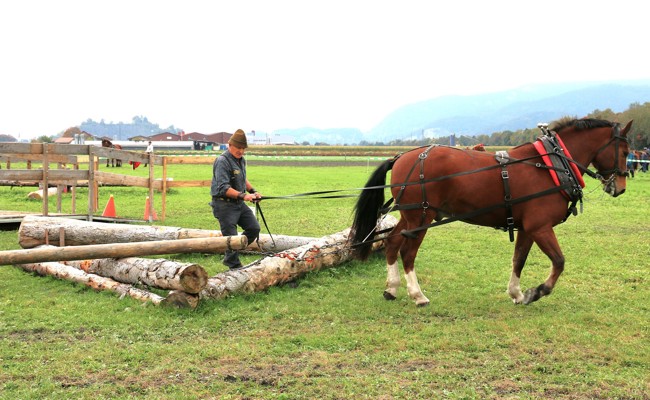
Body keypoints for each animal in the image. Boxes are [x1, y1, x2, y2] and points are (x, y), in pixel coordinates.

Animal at [350, 118, 632, 307]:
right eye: (626, 151)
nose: (620, 188)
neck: (551, 164)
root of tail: (401, 157)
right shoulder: (540, 227)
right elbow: (559, 261)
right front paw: (537, 291)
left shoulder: (527, 228)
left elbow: (519, 260)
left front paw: (517, 293)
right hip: (421, 216)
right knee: (407, 252)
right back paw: (417, 295)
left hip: (409, 216)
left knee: (392, 242)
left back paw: (392, 288)